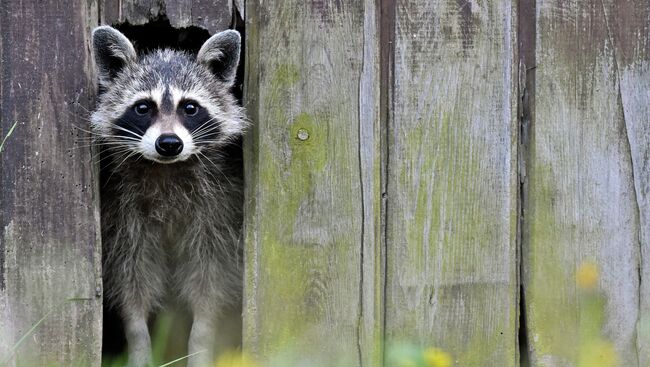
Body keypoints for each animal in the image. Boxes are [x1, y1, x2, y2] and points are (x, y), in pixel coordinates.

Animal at [90, 26, 244, 367]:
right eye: (143, 107)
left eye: (190, 107)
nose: (169, 143)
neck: (166, 169)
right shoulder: (123, 216)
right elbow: (131, 278)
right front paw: (137, 339)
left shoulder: (218, 211)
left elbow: (210, 280)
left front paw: (201, 340)